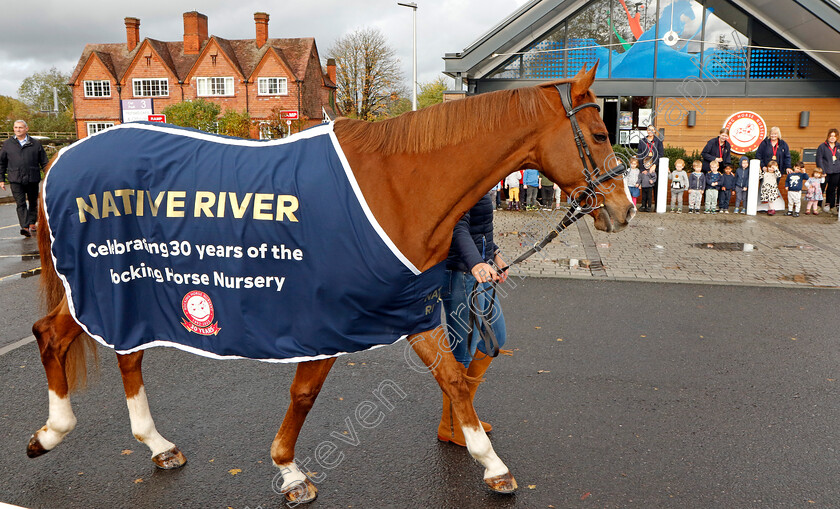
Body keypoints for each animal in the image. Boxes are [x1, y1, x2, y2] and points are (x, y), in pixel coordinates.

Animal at [27, 64, 632, 504]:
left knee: (126, 352)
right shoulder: (327, 317)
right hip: (97, 283)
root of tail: (62, 157)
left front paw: (492, 465)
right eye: (601, 132)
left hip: (129, 289)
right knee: (50, 335)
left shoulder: (409, 309)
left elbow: (456, 379)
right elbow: (305, 393)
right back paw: (51, 432)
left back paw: (156, 444)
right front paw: (291, 472)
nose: (623, 211)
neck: (395, 187)